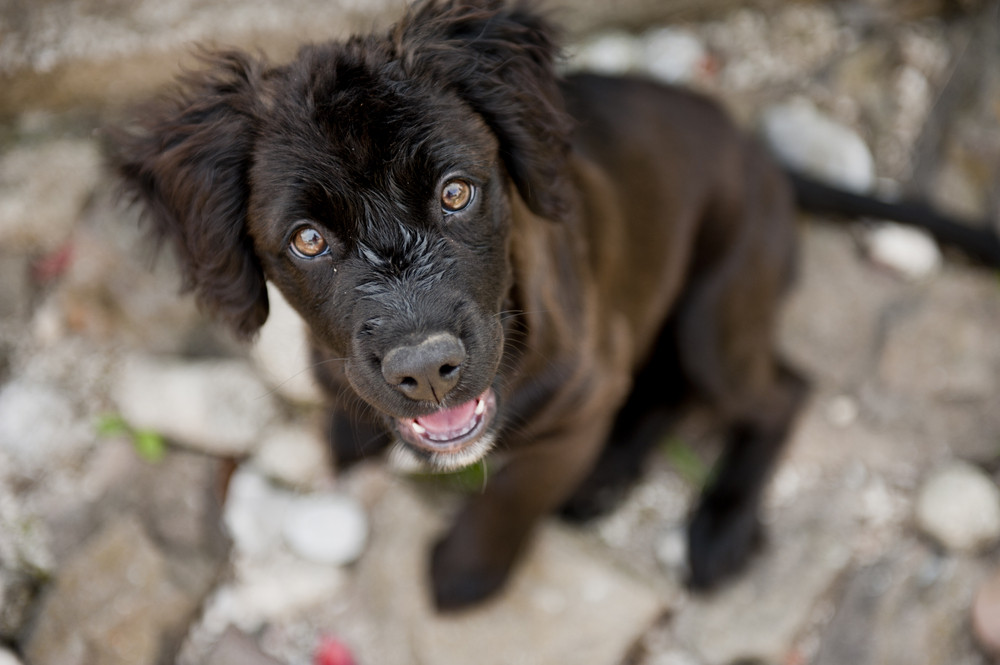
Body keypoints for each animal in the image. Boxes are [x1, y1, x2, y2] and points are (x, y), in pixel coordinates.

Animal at [111, 0, 1000, 608]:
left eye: (457, 191)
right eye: (307, 240)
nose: (426, 371)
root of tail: (764, 157)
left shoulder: (580, 382)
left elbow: (516, 490)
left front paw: (467, 573)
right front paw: (350, 430)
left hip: (714, 315)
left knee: (780, 388)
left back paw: (715, 524)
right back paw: (612, 470)